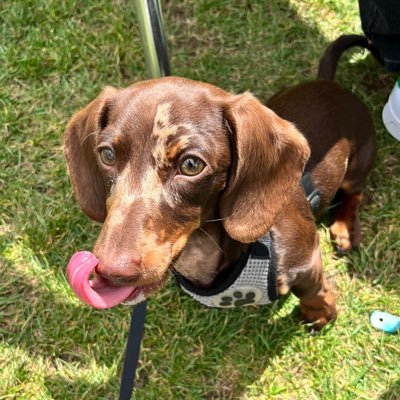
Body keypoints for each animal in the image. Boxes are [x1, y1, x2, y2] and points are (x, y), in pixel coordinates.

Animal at [65, 34, 376, 330]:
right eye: (107, 154)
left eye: (191, 165)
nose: (111, 273)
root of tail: (329, 83)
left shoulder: (308, 259)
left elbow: (314, 291)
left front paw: (319, 314)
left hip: (357, 165)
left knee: (355, 193)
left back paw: (344, 228)